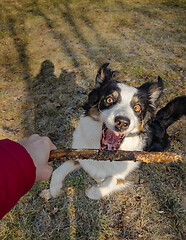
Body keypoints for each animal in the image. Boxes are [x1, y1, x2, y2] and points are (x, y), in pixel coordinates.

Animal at [49, 62, 186, 200]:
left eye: (137, 108)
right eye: (109, 99)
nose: (122, 122)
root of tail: (159, 122)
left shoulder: (127, 174)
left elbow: (108, 182)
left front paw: (93, 190)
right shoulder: (81, 155)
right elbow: (58, 170)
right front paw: (55, 189)